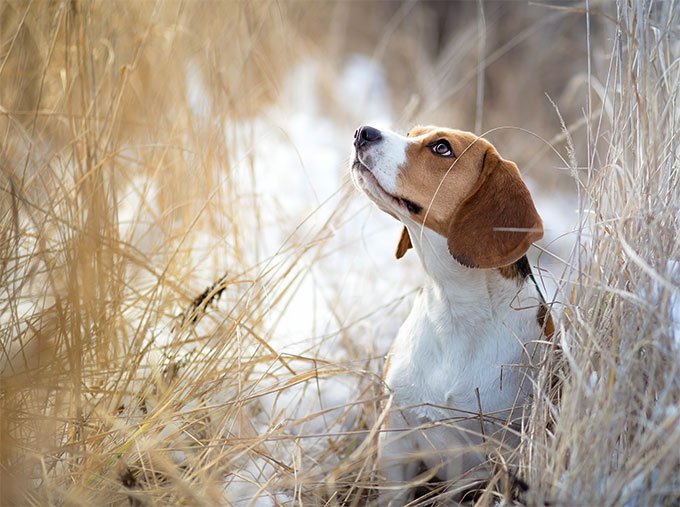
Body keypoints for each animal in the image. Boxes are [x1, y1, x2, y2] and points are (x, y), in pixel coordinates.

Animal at [350, 126, 552, 504]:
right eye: (411, 132)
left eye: (441, 148)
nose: (362, 132)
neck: (454, 309)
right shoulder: (396, 441)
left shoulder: (500, 459)